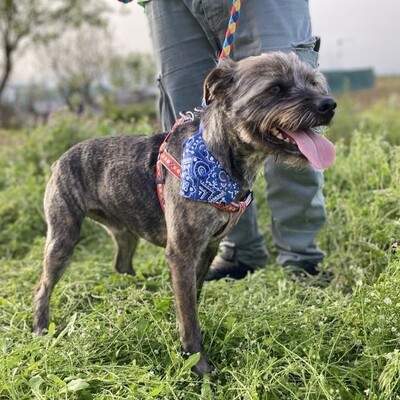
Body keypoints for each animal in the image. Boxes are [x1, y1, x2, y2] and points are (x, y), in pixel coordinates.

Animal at [32, 52, 336, 376]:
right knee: (42, 287)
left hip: (125, 233)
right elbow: (189, 316)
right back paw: (41, 329)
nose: (329, 104)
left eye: (313, 83)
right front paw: (199, 364)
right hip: (62, 238)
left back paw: (136, 292)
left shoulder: (208, 248)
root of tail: (59, 159)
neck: (218, 158)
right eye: (276, 88)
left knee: (121, 264)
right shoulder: (181, 254)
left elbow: (193, 296)